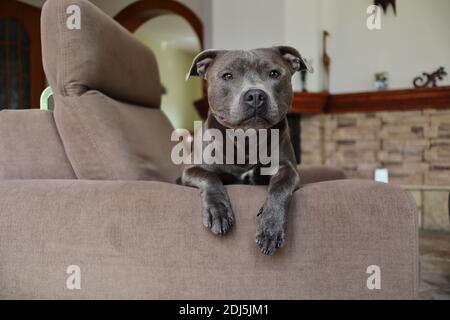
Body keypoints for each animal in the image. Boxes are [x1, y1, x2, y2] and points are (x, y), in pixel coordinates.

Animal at [183, 46, 312, 255]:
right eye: (227, 76)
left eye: (274, 73)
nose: (256, 95)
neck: (246, 140)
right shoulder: (191, 170)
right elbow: (209, 176)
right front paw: (218, 210)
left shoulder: (288, 168)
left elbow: (281, 186)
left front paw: (270, 227)